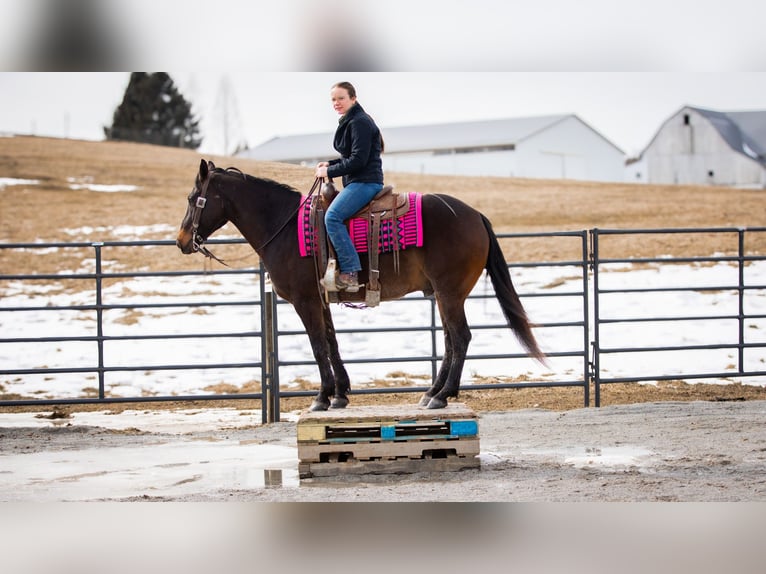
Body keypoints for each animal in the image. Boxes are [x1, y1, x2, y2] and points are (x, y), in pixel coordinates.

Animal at [178, 160, 544, 412]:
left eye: (194, 197)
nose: (181, 241)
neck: (283, 226)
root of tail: (475, 216)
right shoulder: (321, 300)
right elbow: (331, 343)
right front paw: (340, 393)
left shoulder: (305, 301)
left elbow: (317, 346)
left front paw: (322, 397)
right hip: (444, 296)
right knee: (451, 340)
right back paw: (431, 392)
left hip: (450, 293)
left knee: (461, 338)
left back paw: (442, 395)